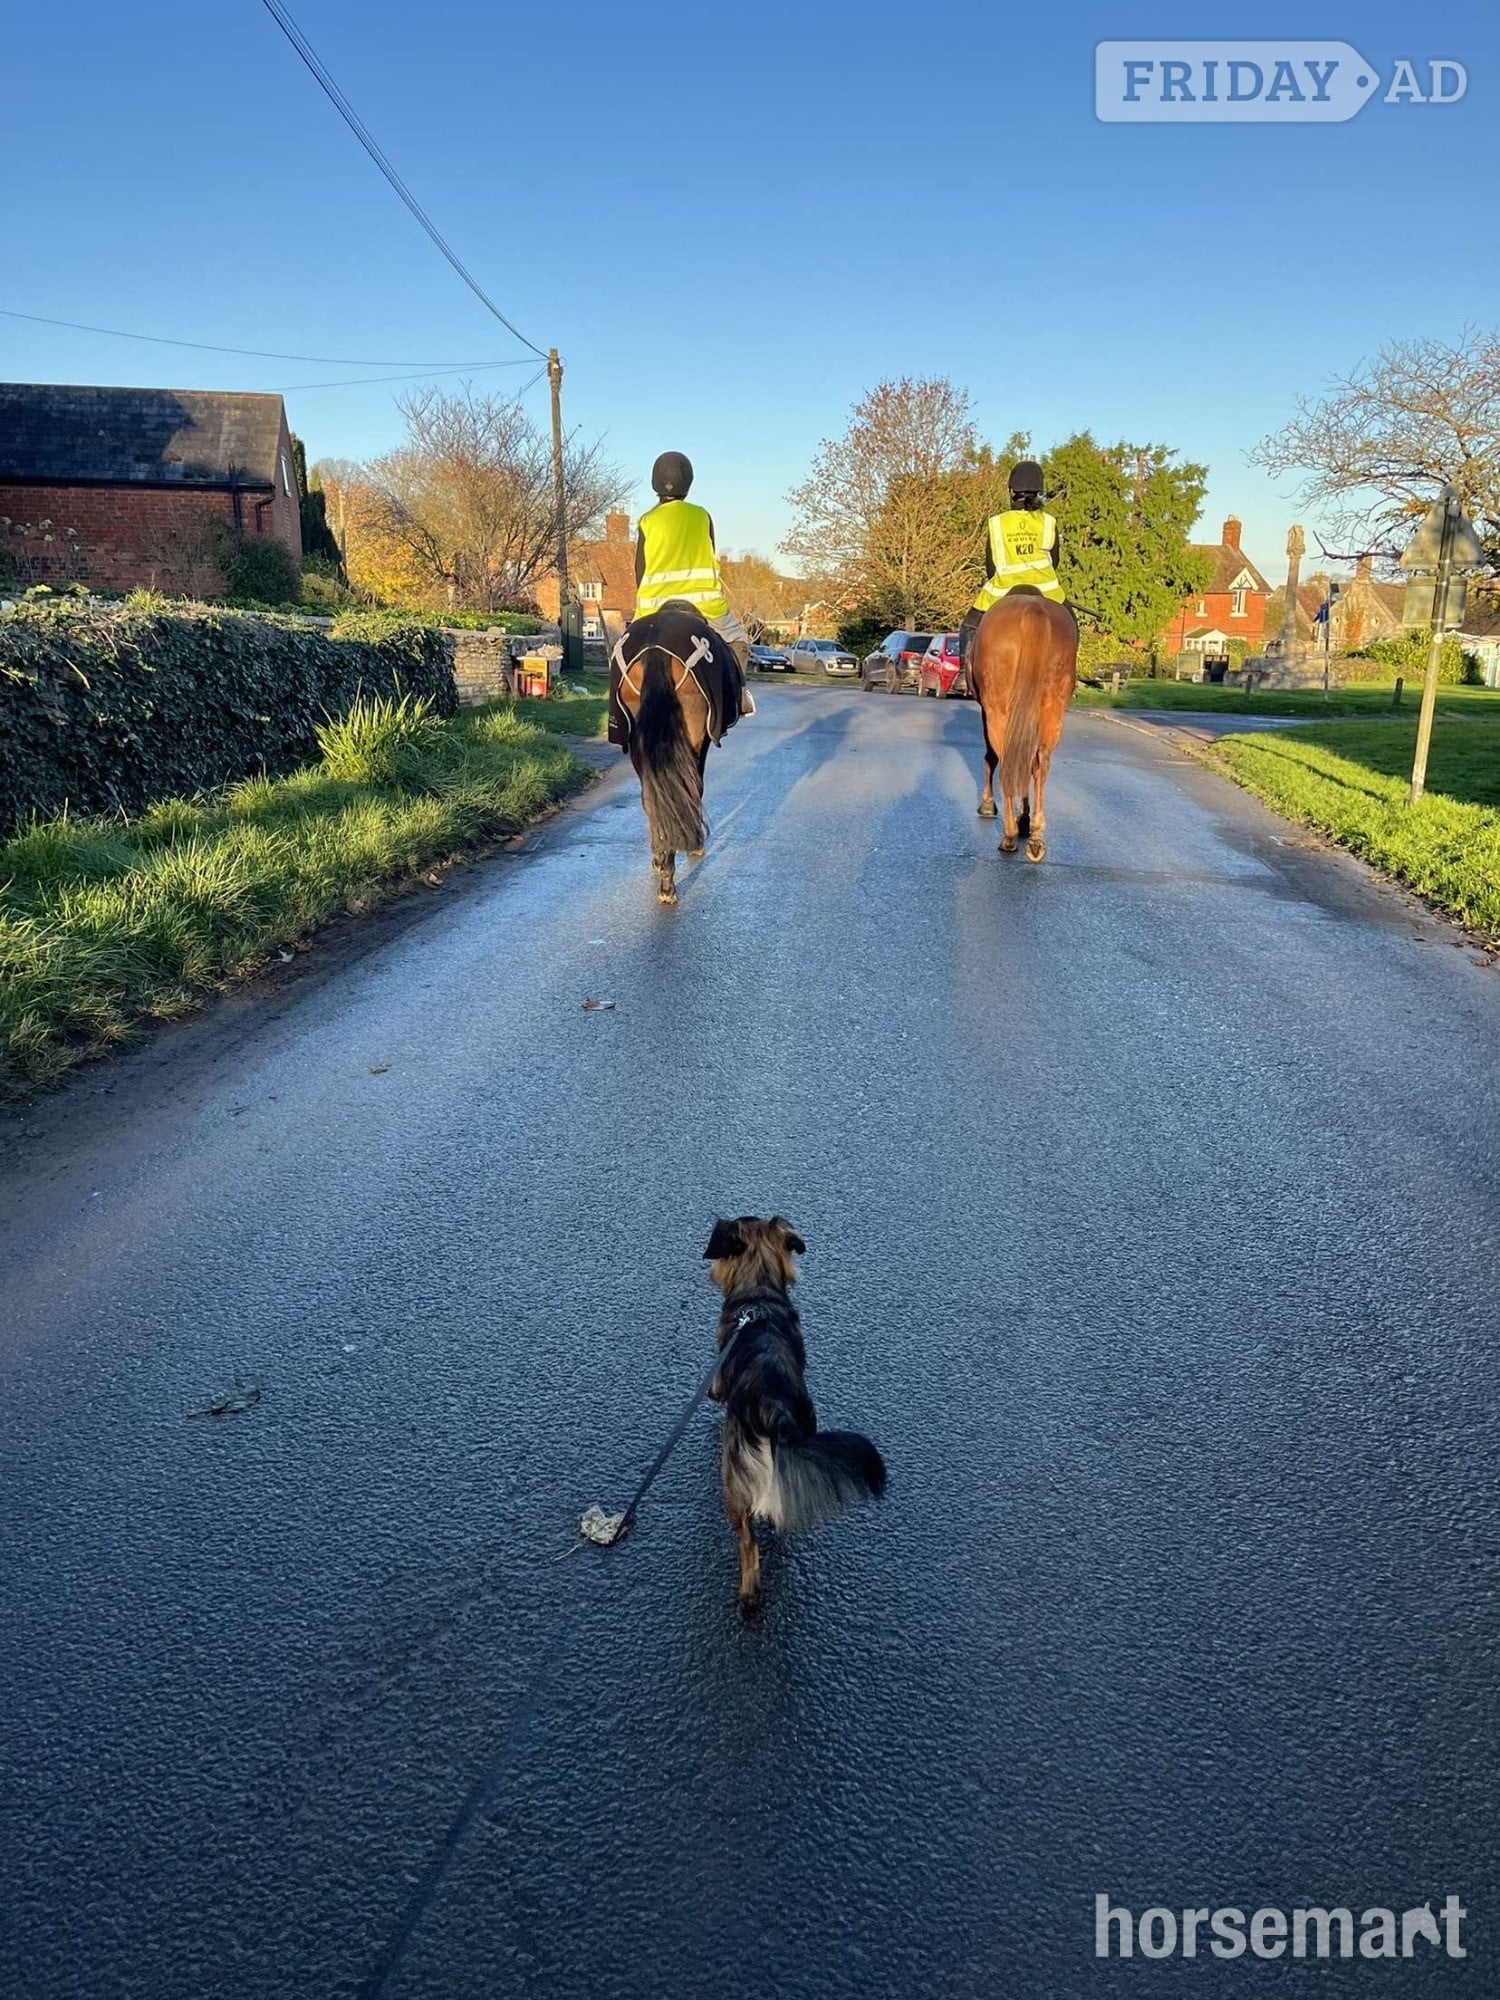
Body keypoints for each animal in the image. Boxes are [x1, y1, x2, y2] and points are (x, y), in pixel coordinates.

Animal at [969, 589, 1078, 862]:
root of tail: (1032, 608)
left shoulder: (987, 710)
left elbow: (991, 758)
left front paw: (988, 805)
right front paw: (1026, 820)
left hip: (998, 708)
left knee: (1007, 761)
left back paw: (1009, 835)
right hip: (1052, 705)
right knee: (1040, 762)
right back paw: (1036, 837)